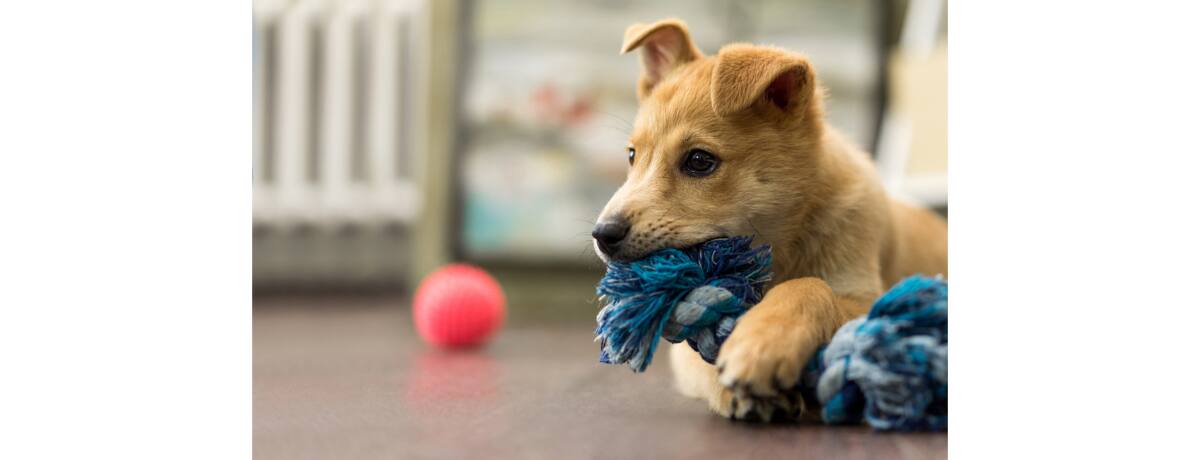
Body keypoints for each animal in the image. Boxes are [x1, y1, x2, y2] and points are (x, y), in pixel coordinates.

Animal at [592, 18, 945, 422]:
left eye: (699, 161)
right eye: (632, 155)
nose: (602, 235)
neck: (777, 247)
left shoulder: (867, 297)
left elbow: (810, 286)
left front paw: (763, 341)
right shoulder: (682, 349)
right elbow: (701, 357)